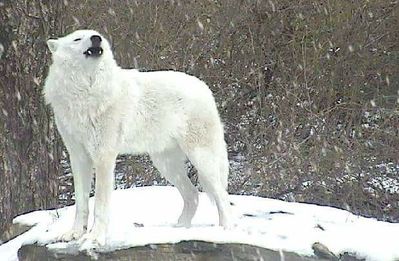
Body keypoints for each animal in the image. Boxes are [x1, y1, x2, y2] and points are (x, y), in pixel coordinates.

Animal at [44, 29, 231, 245]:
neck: (86, 91)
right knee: (193, 194)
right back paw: (179, 229)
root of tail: (204, 87)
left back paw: (226, 230)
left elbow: (100, 204)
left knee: (222, 196)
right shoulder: (78, 157)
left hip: (201, 160)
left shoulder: (104, 157)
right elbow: (81, 203)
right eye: (77, 39)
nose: (96, 39)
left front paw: (96, 237)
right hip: (166, 164)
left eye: (97, 36)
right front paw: (74, 234)